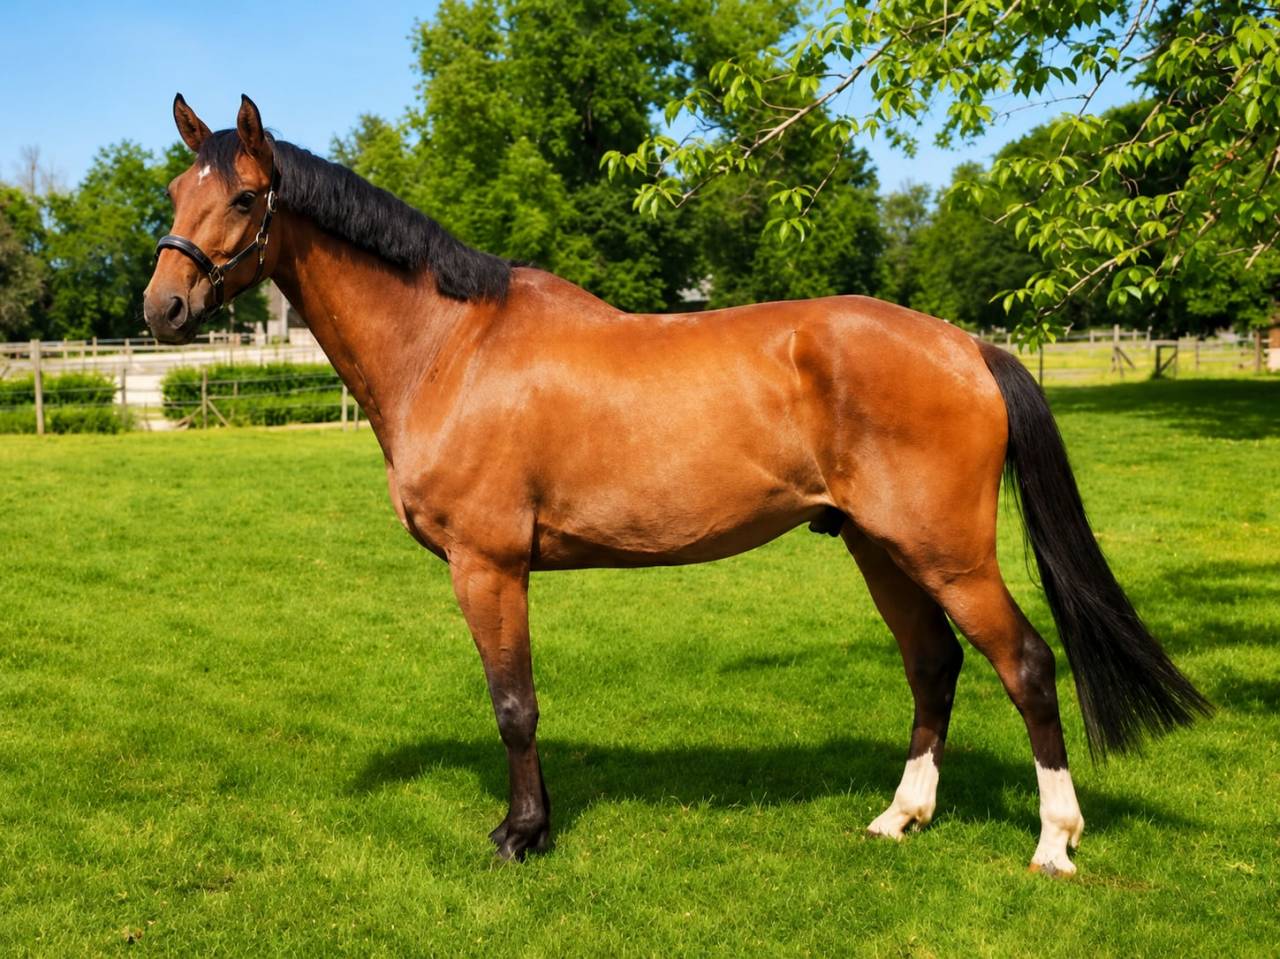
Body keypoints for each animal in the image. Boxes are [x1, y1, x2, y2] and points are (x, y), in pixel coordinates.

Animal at [143, 94, 1210, 875]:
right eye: (174, 189)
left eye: (245, 200)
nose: (164, 308)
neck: (452, 346)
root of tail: (966, 347)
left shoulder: (487, 565)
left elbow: (514, 702)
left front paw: (521, 835)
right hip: (881, 549)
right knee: (933, 664)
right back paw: (899, 817)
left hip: (946, 552)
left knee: (1023, 664)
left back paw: (1054, 843)